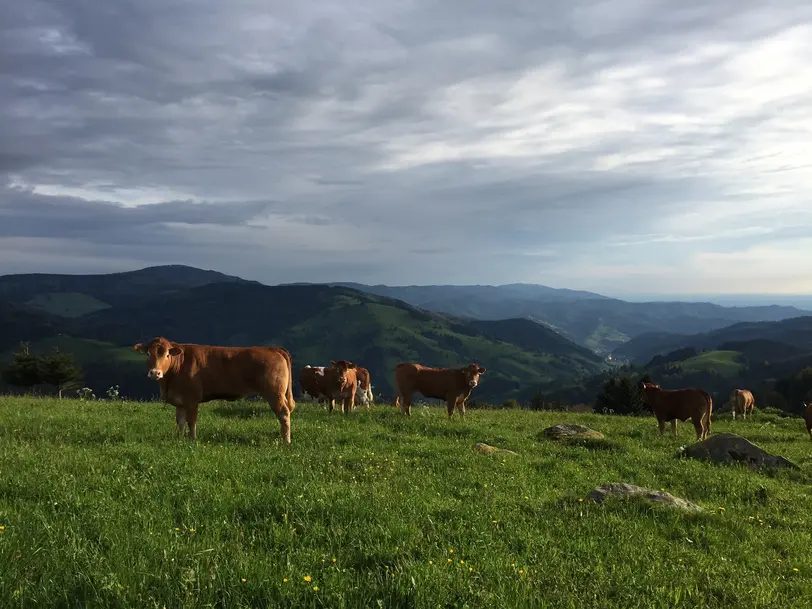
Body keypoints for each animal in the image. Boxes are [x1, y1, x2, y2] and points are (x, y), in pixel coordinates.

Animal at [133, 334, 294, 444]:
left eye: (167, 354)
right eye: (148, 354)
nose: (155, 373)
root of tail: (273, 349)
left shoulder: (192, 399)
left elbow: (191, 421)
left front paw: (192, 440)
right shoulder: (180, 401)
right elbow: (180, 422)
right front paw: (180, 439)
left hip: (275, 393)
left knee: (284, 414)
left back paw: (286, 441)